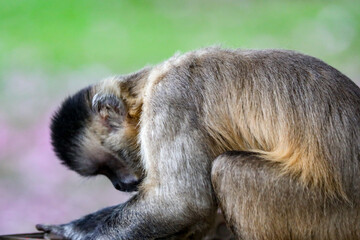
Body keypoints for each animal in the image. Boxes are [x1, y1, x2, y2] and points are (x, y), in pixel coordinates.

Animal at [39, 47, 360, 239]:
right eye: (105, 172)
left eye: (111, 164)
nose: (120, 185)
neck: (146, 89)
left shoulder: (170, 99)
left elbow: (180, 204)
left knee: (228, 170)